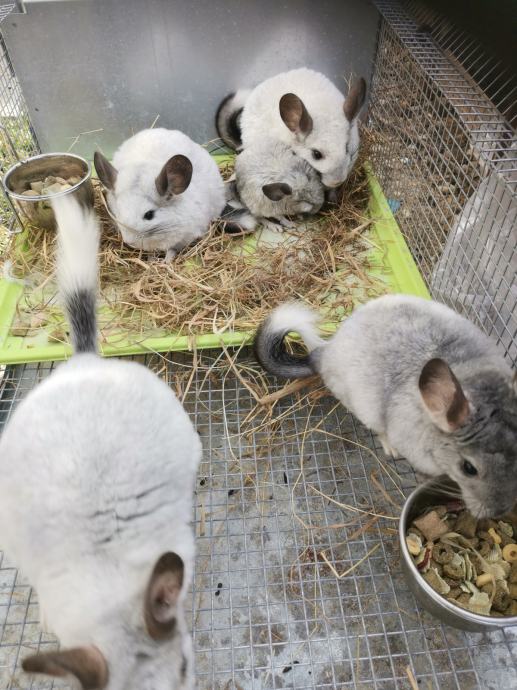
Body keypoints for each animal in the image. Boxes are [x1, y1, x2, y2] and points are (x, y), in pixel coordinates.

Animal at [95, 127, 226, 260]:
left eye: (149, 215)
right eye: (119, 213)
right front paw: (152, 259)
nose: (129, 242)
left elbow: (172, 250)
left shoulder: (185, 237)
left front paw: (166, 261)